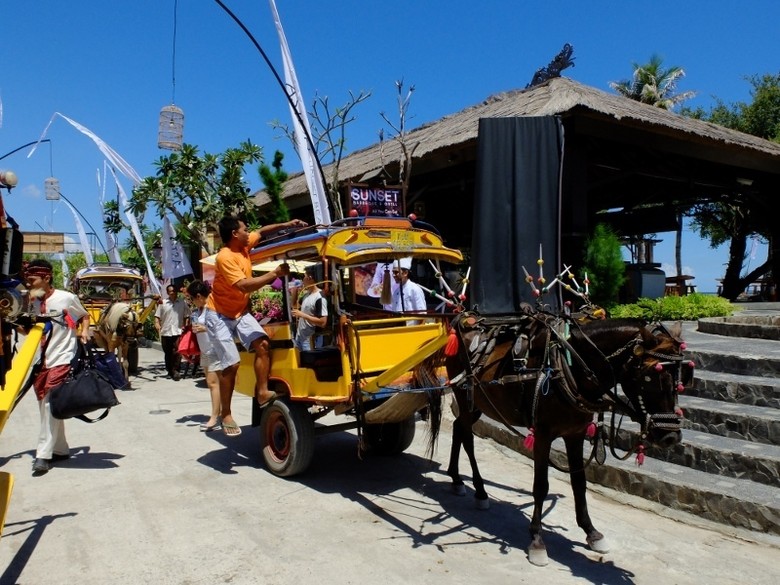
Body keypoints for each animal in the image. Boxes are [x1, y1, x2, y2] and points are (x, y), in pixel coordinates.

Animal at [432, 306, 696, 564]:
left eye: (682, 379)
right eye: (650, 376)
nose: (670, 438)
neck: (571, 367)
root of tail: (463, 321)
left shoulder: (575, 434)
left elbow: (579, 483)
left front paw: (591, 532)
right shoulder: (543, 434)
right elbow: (541, 485)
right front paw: (537, 540)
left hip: (477, 404)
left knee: (458, 428)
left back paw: (457, 479)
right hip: (465, 399)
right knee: (467, 438)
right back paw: (479, 490)